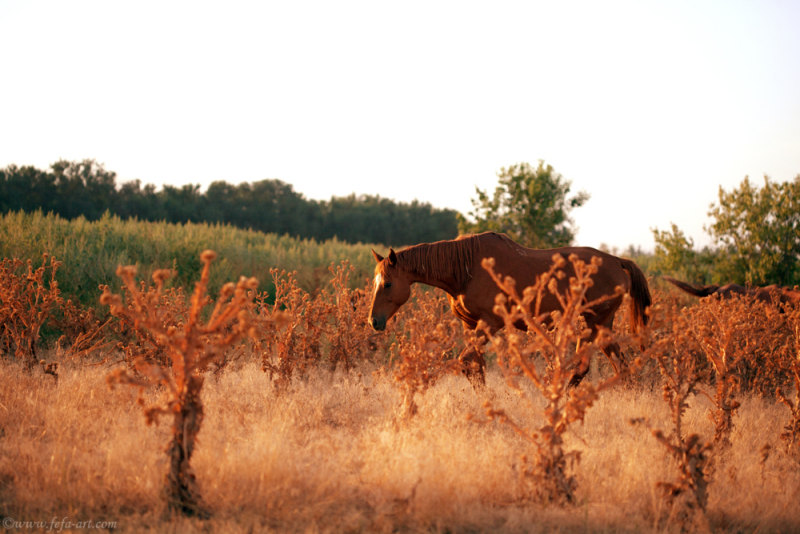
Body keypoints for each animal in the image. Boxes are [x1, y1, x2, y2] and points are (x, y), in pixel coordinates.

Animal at [368, 232, 648, 388]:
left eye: (388, 283)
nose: (374, 321)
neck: (465, 269)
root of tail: (617, 261)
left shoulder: (490, 323)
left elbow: (466, 362)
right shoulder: (471, 325)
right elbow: (476, 366)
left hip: (593, 322)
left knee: (583, 367)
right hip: (602, 324)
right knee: (620, 365)